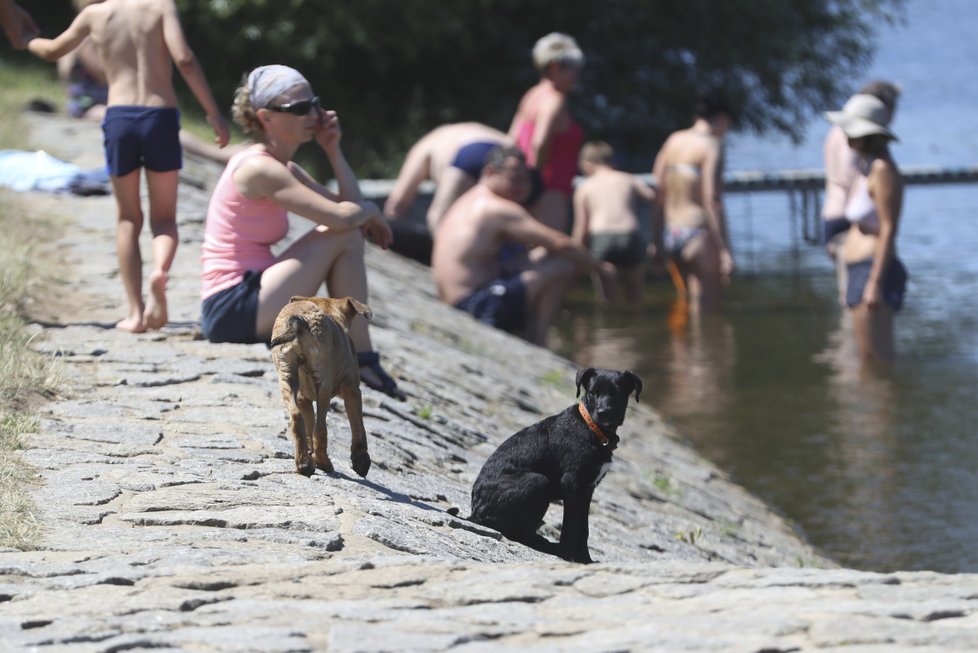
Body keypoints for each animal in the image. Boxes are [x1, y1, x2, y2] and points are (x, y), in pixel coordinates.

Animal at [268, 294, 372, 474]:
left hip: (287, 377)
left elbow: (308, 426)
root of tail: (298, 319)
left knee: (297, 418)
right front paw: (361, 461)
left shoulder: (303, 398)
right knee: (321, 428)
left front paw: (311, 453)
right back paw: (324, 463)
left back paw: (304, 463)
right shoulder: (352, 389)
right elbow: (358, 427)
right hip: (323, 386)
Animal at [470, 366, 644, 560]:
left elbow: (583, 527)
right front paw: (568, 554)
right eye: (592, 392)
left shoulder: (587, 488)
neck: (593, 428)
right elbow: (571, 525)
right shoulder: (572, 483)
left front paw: (585, 560)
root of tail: (475, 512)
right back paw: (545, 545)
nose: (603, 412)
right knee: (517, 532)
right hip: (537, 482)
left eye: (618, 393)